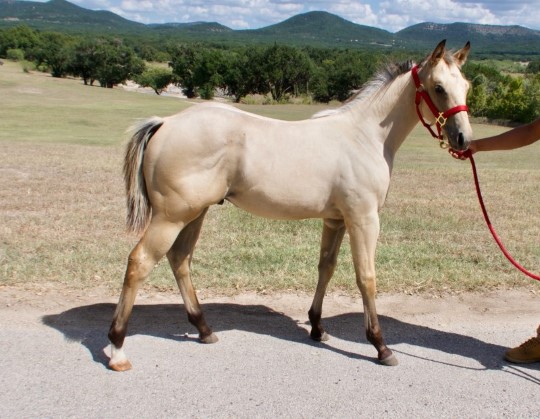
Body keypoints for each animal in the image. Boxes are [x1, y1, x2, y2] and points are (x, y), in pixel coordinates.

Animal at [108, 41, 472, 372]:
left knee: (179, 259)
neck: (364, 136)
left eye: (466, 86)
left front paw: (317, 327)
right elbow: (366, 277)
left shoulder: (335, 220)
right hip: (171, 217)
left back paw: (203, 328)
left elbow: (326, 267)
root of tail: (165, 123)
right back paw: (117, 348)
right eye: (439, 87)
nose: (463, 140)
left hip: (195, 214)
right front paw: (381, 346)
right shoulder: (363, 219)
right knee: (140, 262)